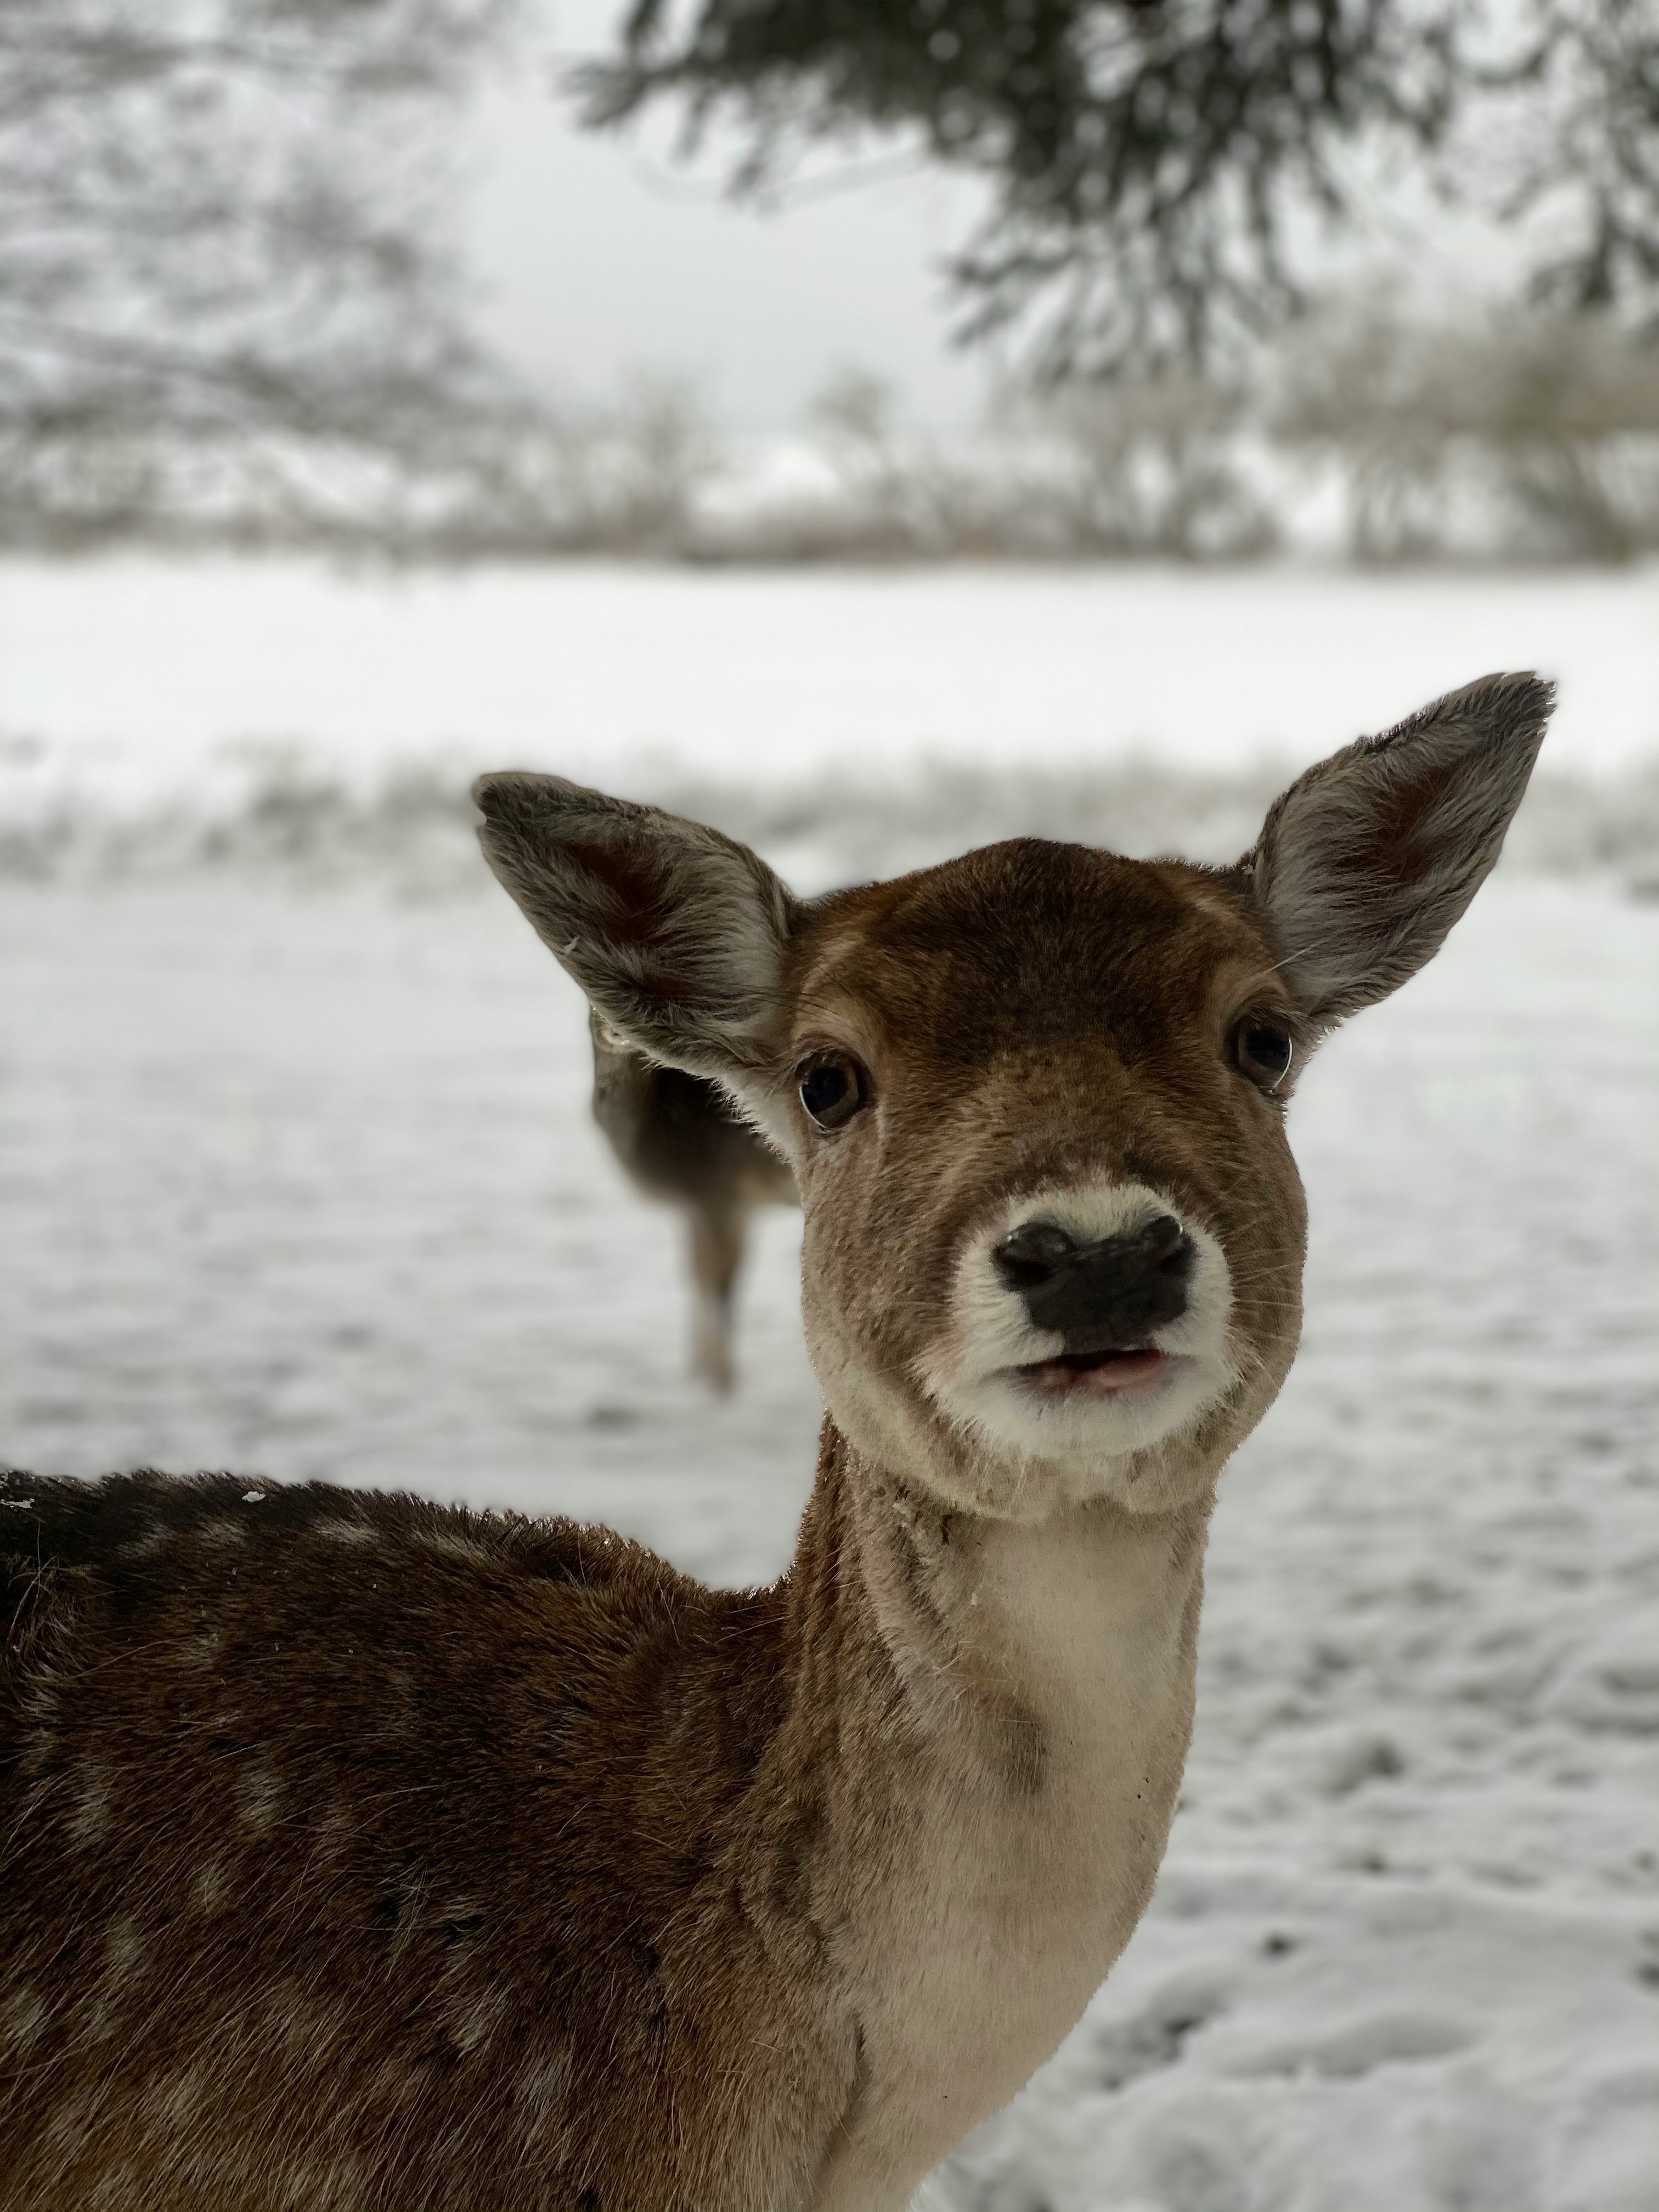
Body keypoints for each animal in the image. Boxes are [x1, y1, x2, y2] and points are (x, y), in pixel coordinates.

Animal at [588, 1013, 796, 1389]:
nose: (616, 1031)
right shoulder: (696, 1208)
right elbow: (695, 1274)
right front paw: (696, 1370)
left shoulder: (720, 1195)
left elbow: (720, 1284)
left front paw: (723, 1384)